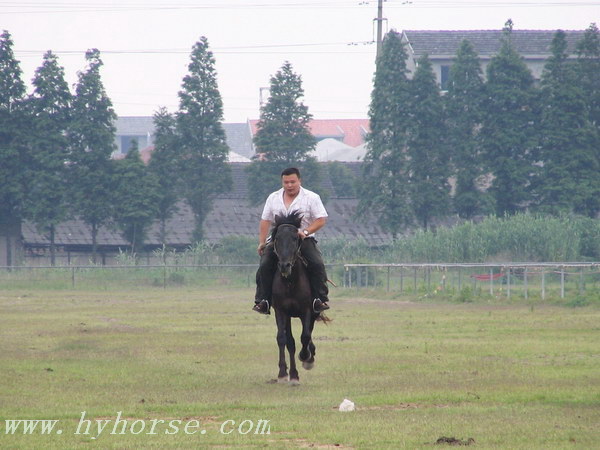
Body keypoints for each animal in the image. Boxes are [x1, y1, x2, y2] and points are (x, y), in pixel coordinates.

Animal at [272, 211, 328, 384]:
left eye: (295, 238)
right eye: (277, 238)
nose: (284, 266)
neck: (291, 282)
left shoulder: (307, 310)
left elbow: (305, 336)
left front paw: (306, 357)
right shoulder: (280, 311)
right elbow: (283, 339)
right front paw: (283, 374)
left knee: (308, 333)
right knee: (290, 341)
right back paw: (292, 374)